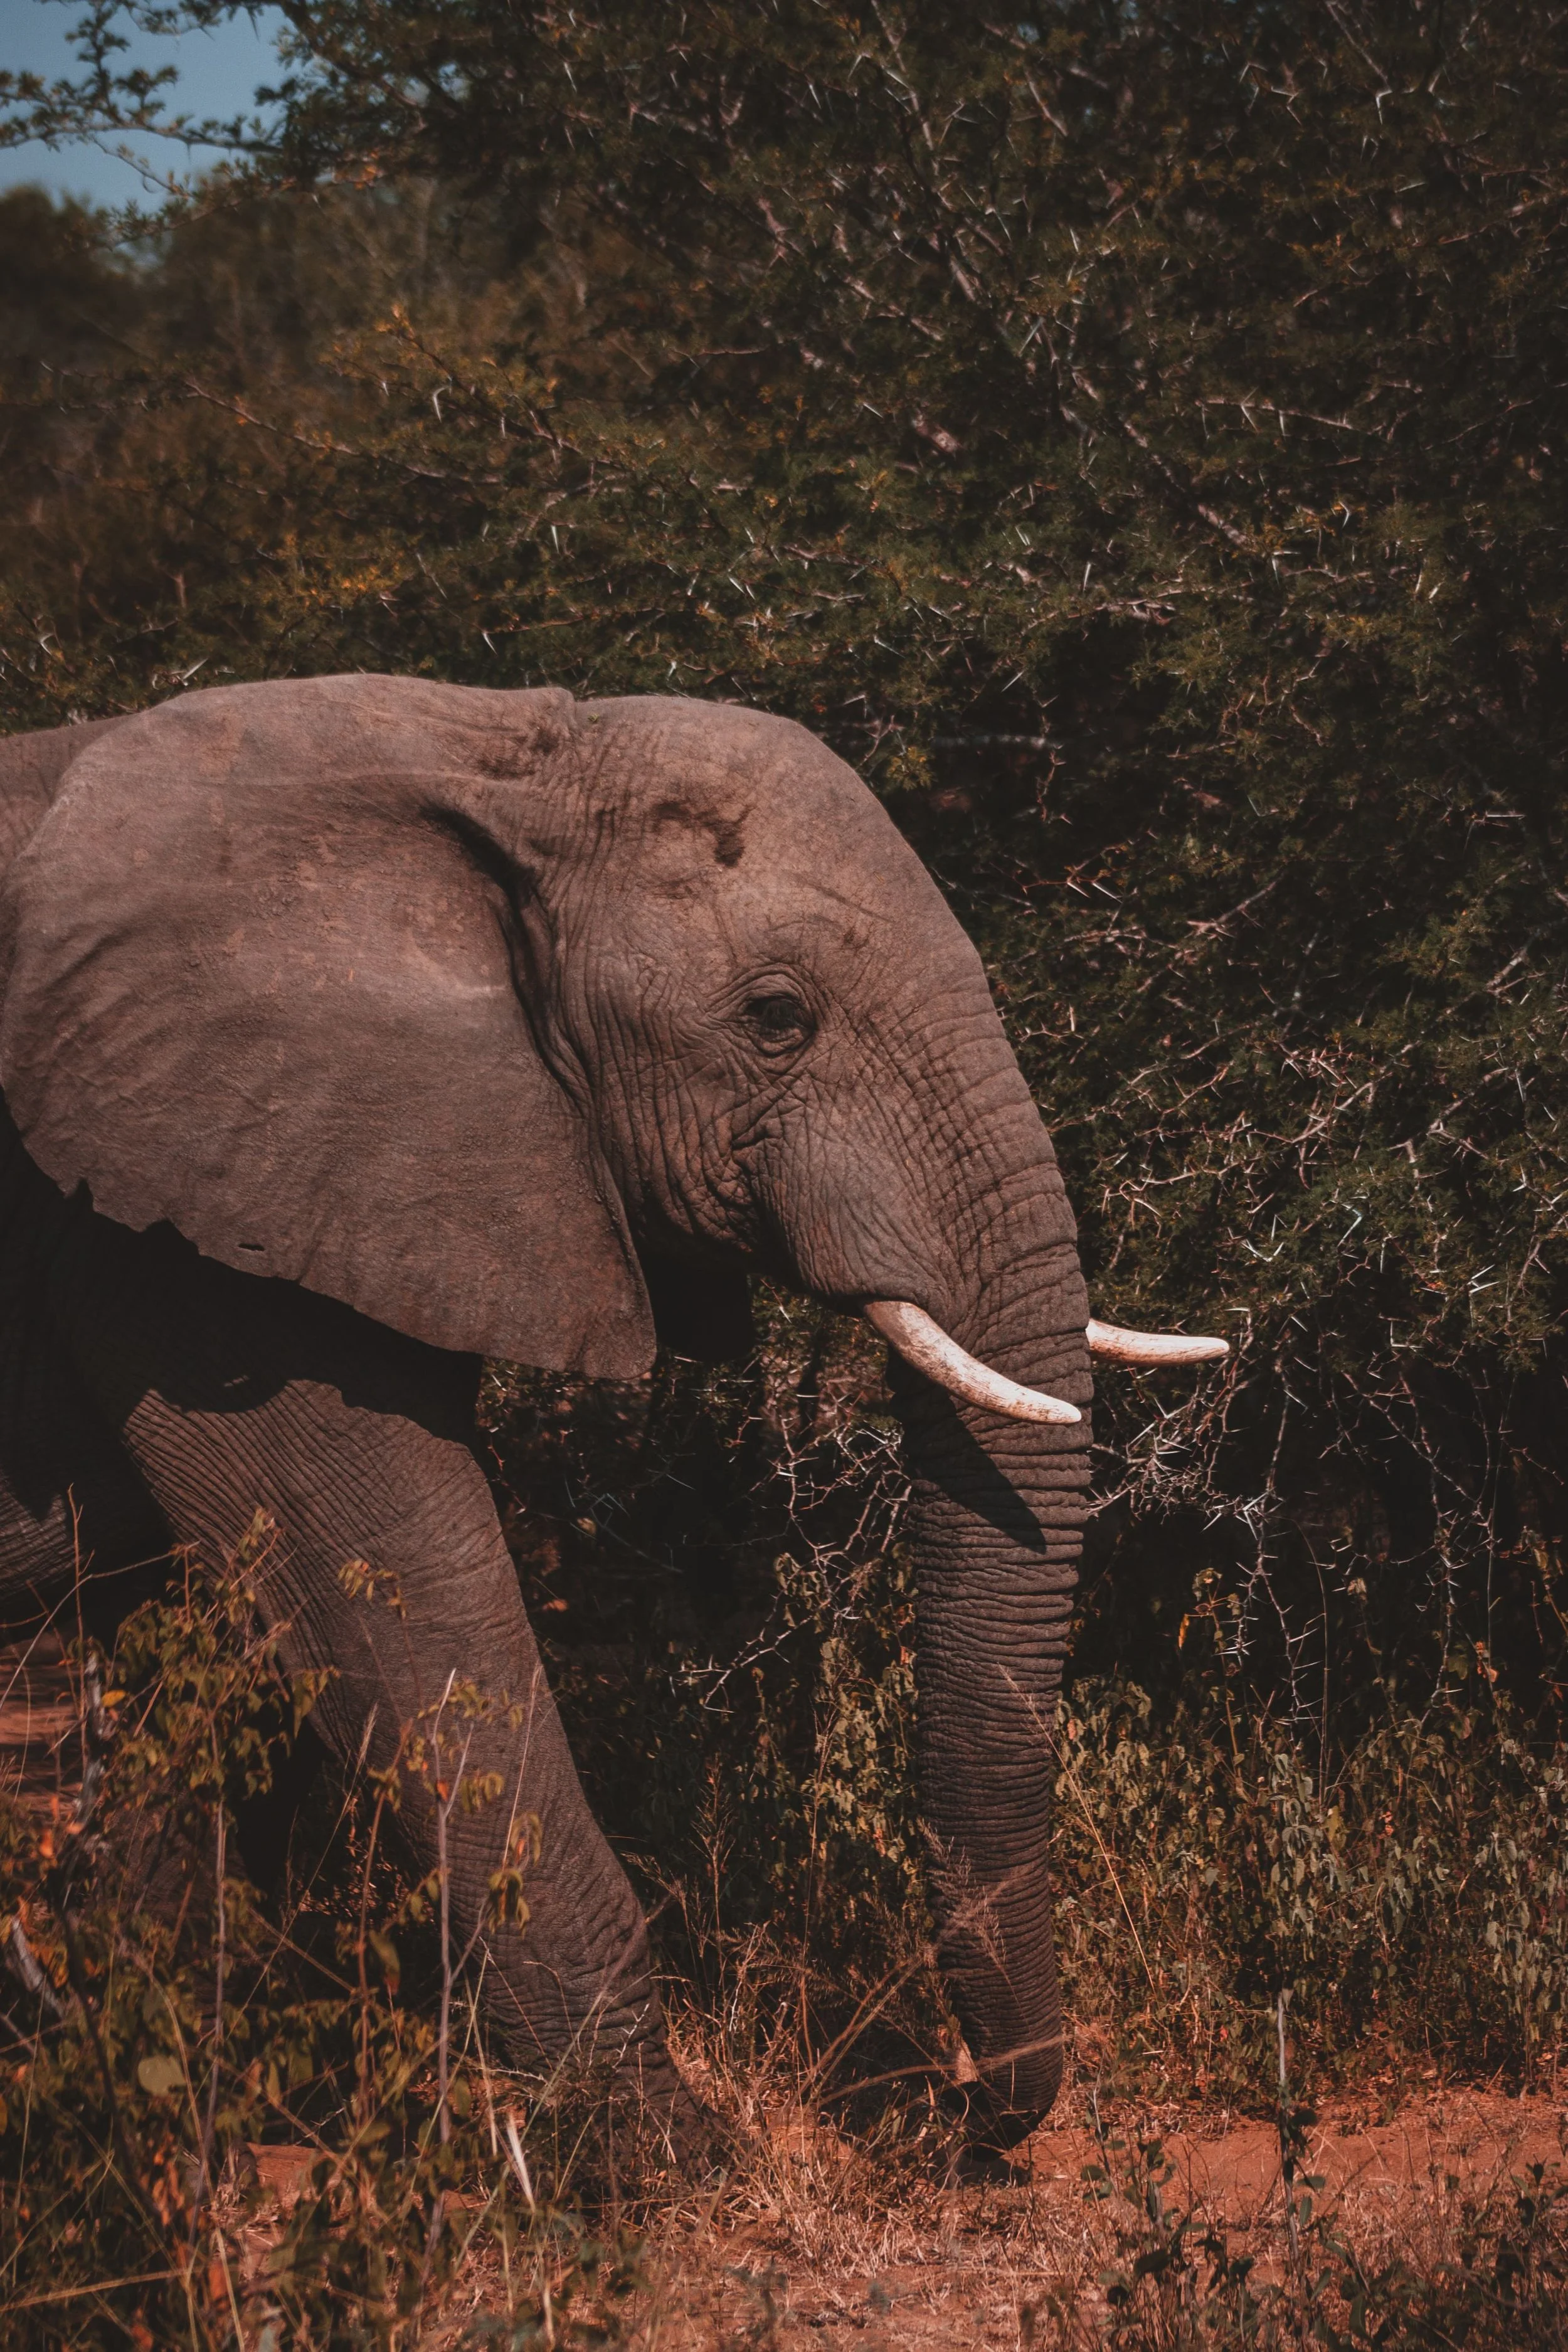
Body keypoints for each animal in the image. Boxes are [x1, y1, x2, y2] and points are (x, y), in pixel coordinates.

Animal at [0, 674, 1224, 2157]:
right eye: (776, 1016)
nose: (954, 2106)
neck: (488, 750)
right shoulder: (174, 1222)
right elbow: (396, 1608)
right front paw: (670, 2169)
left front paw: (174, 2120)